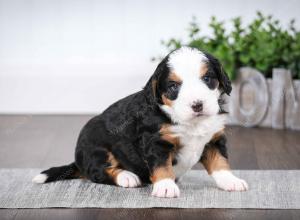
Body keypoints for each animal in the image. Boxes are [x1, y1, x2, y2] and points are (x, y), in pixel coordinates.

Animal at [32, 46, 248, 198]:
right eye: (173, 86)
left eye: (207, 78)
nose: (197, 105)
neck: (190, 122)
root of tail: (78, 161)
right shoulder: (156, 142)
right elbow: (162, 166)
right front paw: (166, 186)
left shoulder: (213, 139)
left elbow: (220, 162)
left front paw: (231, 181)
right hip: (97, 148)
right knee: (98, 172)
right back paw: (127, 176)